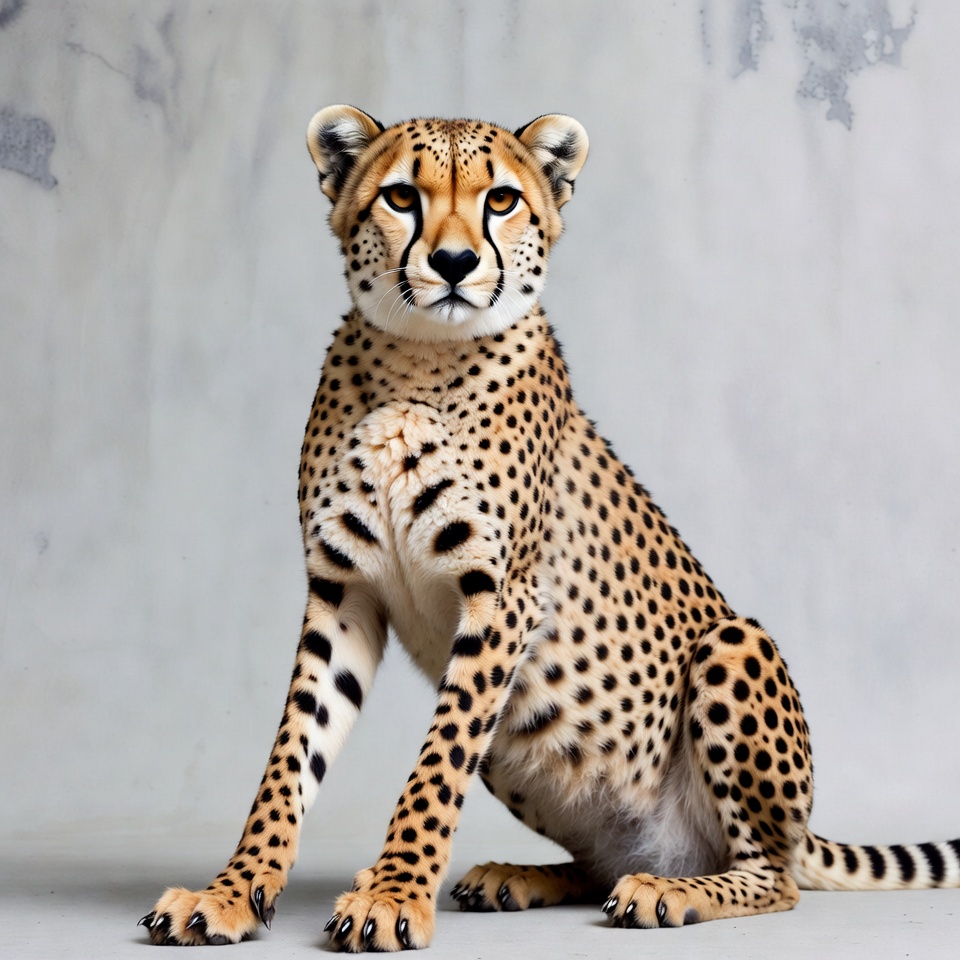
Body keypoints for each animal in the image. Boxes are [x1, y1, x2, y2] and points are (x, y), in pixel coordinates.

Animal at [141, 105, 960, 950]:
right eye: (401, 196)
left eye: (500, 200)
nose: (456, 261)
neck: (416, 359)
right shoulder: (343, 594)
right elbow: (290, 755)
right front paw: (235, 890)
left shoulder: (502, 599)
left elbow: (435, 765)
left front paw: (394, 896)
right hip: (520, 745)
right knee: (605, 859)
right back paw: (521, 876)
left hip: (732, 645)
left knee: (773, 877)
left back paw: (673, 893)